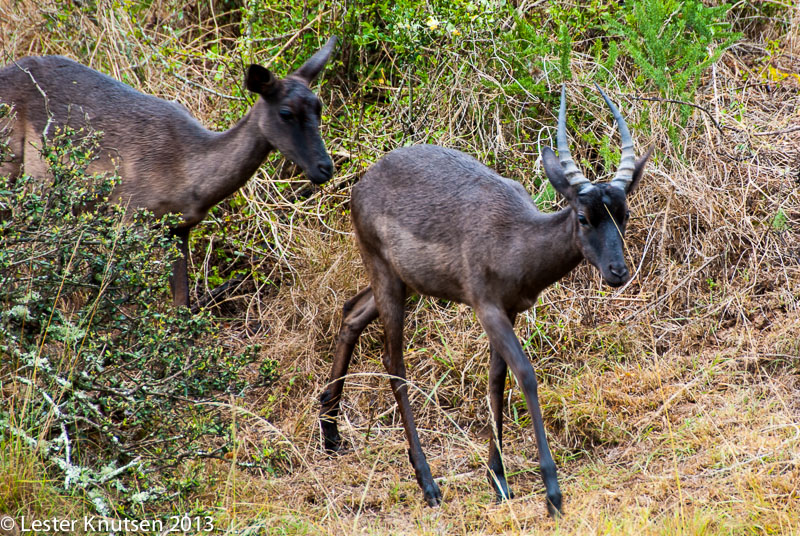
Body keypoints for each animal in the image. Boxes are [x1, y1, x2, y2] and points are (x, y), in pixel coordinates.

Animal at [0, 36, 338, 306]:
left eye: (320, 107)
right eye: (286, 112)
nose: (325, 167)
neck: (188, 178)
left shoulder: (179, 228)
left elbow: (180, 303)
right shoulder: (129, 212)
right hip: (15, 166)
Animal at [318, 84, 648, 516]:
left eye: (623, 213)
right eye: (582, 216)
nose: (617, 272)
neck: (515, 241)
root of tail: (361, 183)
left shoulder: (510, 310)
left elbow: (496, 380)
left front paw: (499, 481)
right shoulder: (487, 307)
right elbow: (525, 374)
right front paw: (552, 493)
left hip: (401, 282)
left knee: (351, 312)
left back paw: (330, 433)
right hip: (386, 277)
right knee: (394, 362)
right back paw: (428, 484)